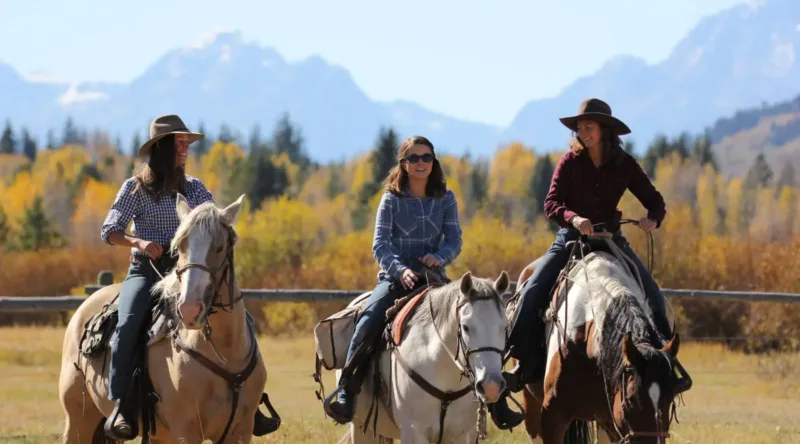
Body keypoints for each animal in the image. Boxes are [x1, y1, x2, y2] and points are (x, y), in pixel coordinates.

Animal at [56, 195, 276, 444]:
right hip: (78, 419)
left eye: (219, 247)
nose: (189, 309)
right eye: (179, 247)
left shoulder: (241, 430)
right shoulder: (186, 431)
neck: (224, 354)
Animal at [334, 270, 510, 444]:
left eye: (505, 327)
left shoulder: (464, 434)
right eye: (465, 327)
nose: (491, 386)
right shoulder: (413, 431)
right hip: (360, 427)